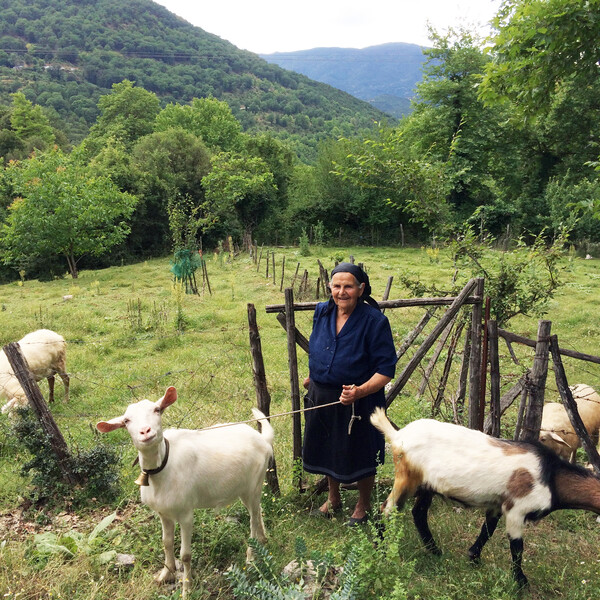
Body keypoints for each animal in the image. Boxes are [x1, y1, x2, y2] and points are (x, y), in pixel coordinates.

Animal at [96, 386, 274, 596]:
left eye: (157, 409)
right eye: (126, 421)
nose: (145, 431)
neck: (163, 467)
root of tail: (263, 438)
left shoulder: (186, 513)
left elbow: (186, 555)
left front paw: (186, 589)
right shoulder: (163, 513)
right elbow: (166, 542)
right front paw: (166, 574)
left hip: (255, 482)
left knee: (253, 518)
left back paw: (251, 556)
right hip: (245, 488)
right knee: (257, 510)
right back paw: (263, 540)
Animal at [370, 408, 600, 584]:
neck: (552, 476)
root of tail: (398, 435)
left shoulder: (497, 505)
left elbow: (487, 531)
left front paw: (473, 558)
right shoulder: (517, 510)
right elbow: (517, 548)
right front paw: (520, 582)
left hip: (427, 486)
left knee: (418, 513)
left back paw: (434, 551)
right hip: (406, 479)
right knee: (386, 509)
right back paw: (381, 550)